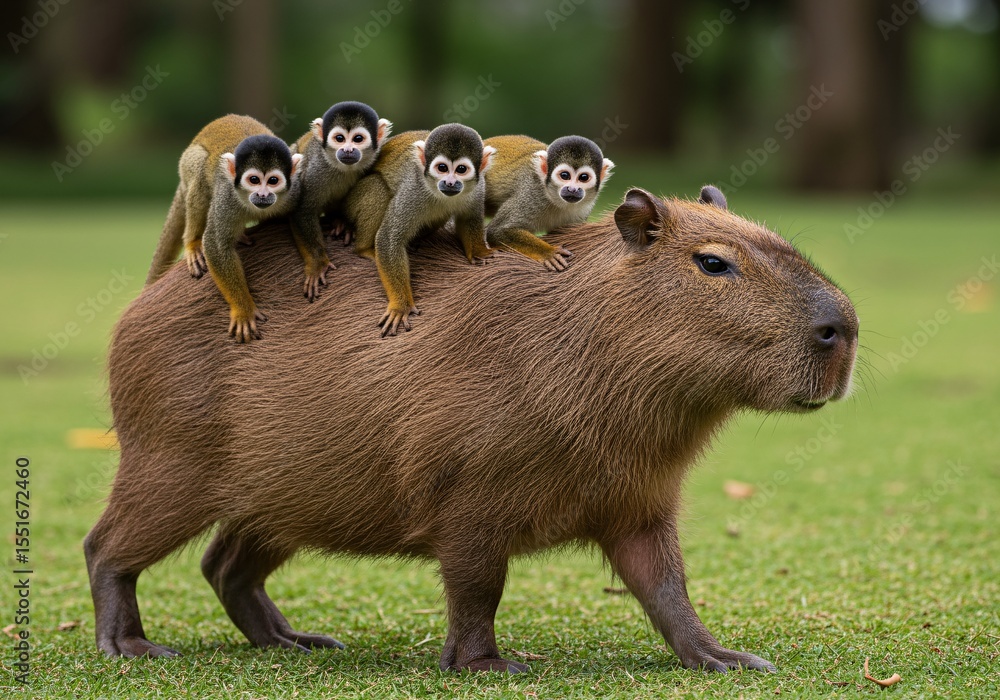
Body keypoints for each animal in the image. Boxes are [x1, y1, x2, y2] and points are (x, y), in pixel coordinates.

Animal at [146, 114, 302, 343]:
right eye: (254, 180)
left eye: (273, 181)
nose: (263, 195)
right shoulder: (227, 196)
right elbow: (216, 245)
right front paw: (243, 309)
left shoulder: (296, 190)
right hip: (187, 163)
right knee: (200, 176)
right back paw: (192, 242)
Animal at [289, 101, 391, 301]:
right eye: (339, 138)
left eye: (358, 138)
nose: (348, 150)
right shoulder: (316, 167)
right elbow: (303, 209)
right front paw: (317, 264)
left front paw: (343, 222)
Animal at [344, 123, 495, 336]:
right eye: (442, 168)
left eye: (461, 169)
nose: (450, 182)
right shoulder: (413, 189)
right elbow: (389, 238)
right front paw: (401, 306)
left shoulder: (479, 186)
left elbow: (469, 219)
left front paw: (480, 252)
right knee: (378, 187)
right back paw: (364, 249)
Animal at [482, 135, 613, 271]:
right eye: (565, 175)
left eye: (584, 177)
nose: (572, 189)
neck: (556, 200)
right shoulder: (531, 193)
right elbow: (497, 231)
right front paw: (548, 252)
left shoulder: (583, 209)